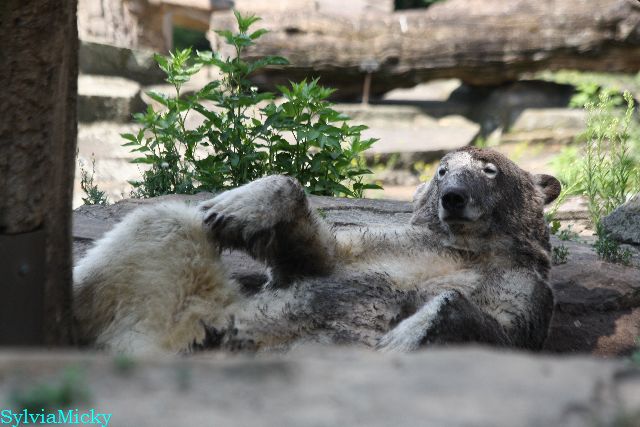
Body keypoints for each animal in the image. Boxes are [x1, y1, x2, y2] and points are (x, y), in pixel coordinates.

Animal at [72, 146, 561, 355]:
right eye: (442, 170)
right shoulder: (393, 243)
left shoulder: (522, 285)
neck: (464, 248)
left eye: (489, 169)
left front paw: (401, 335)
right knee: (162, 229)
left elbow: (500, 330)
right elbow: (320, 254)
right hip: (193, 308)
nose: (453, 197)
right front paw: (230, 209)